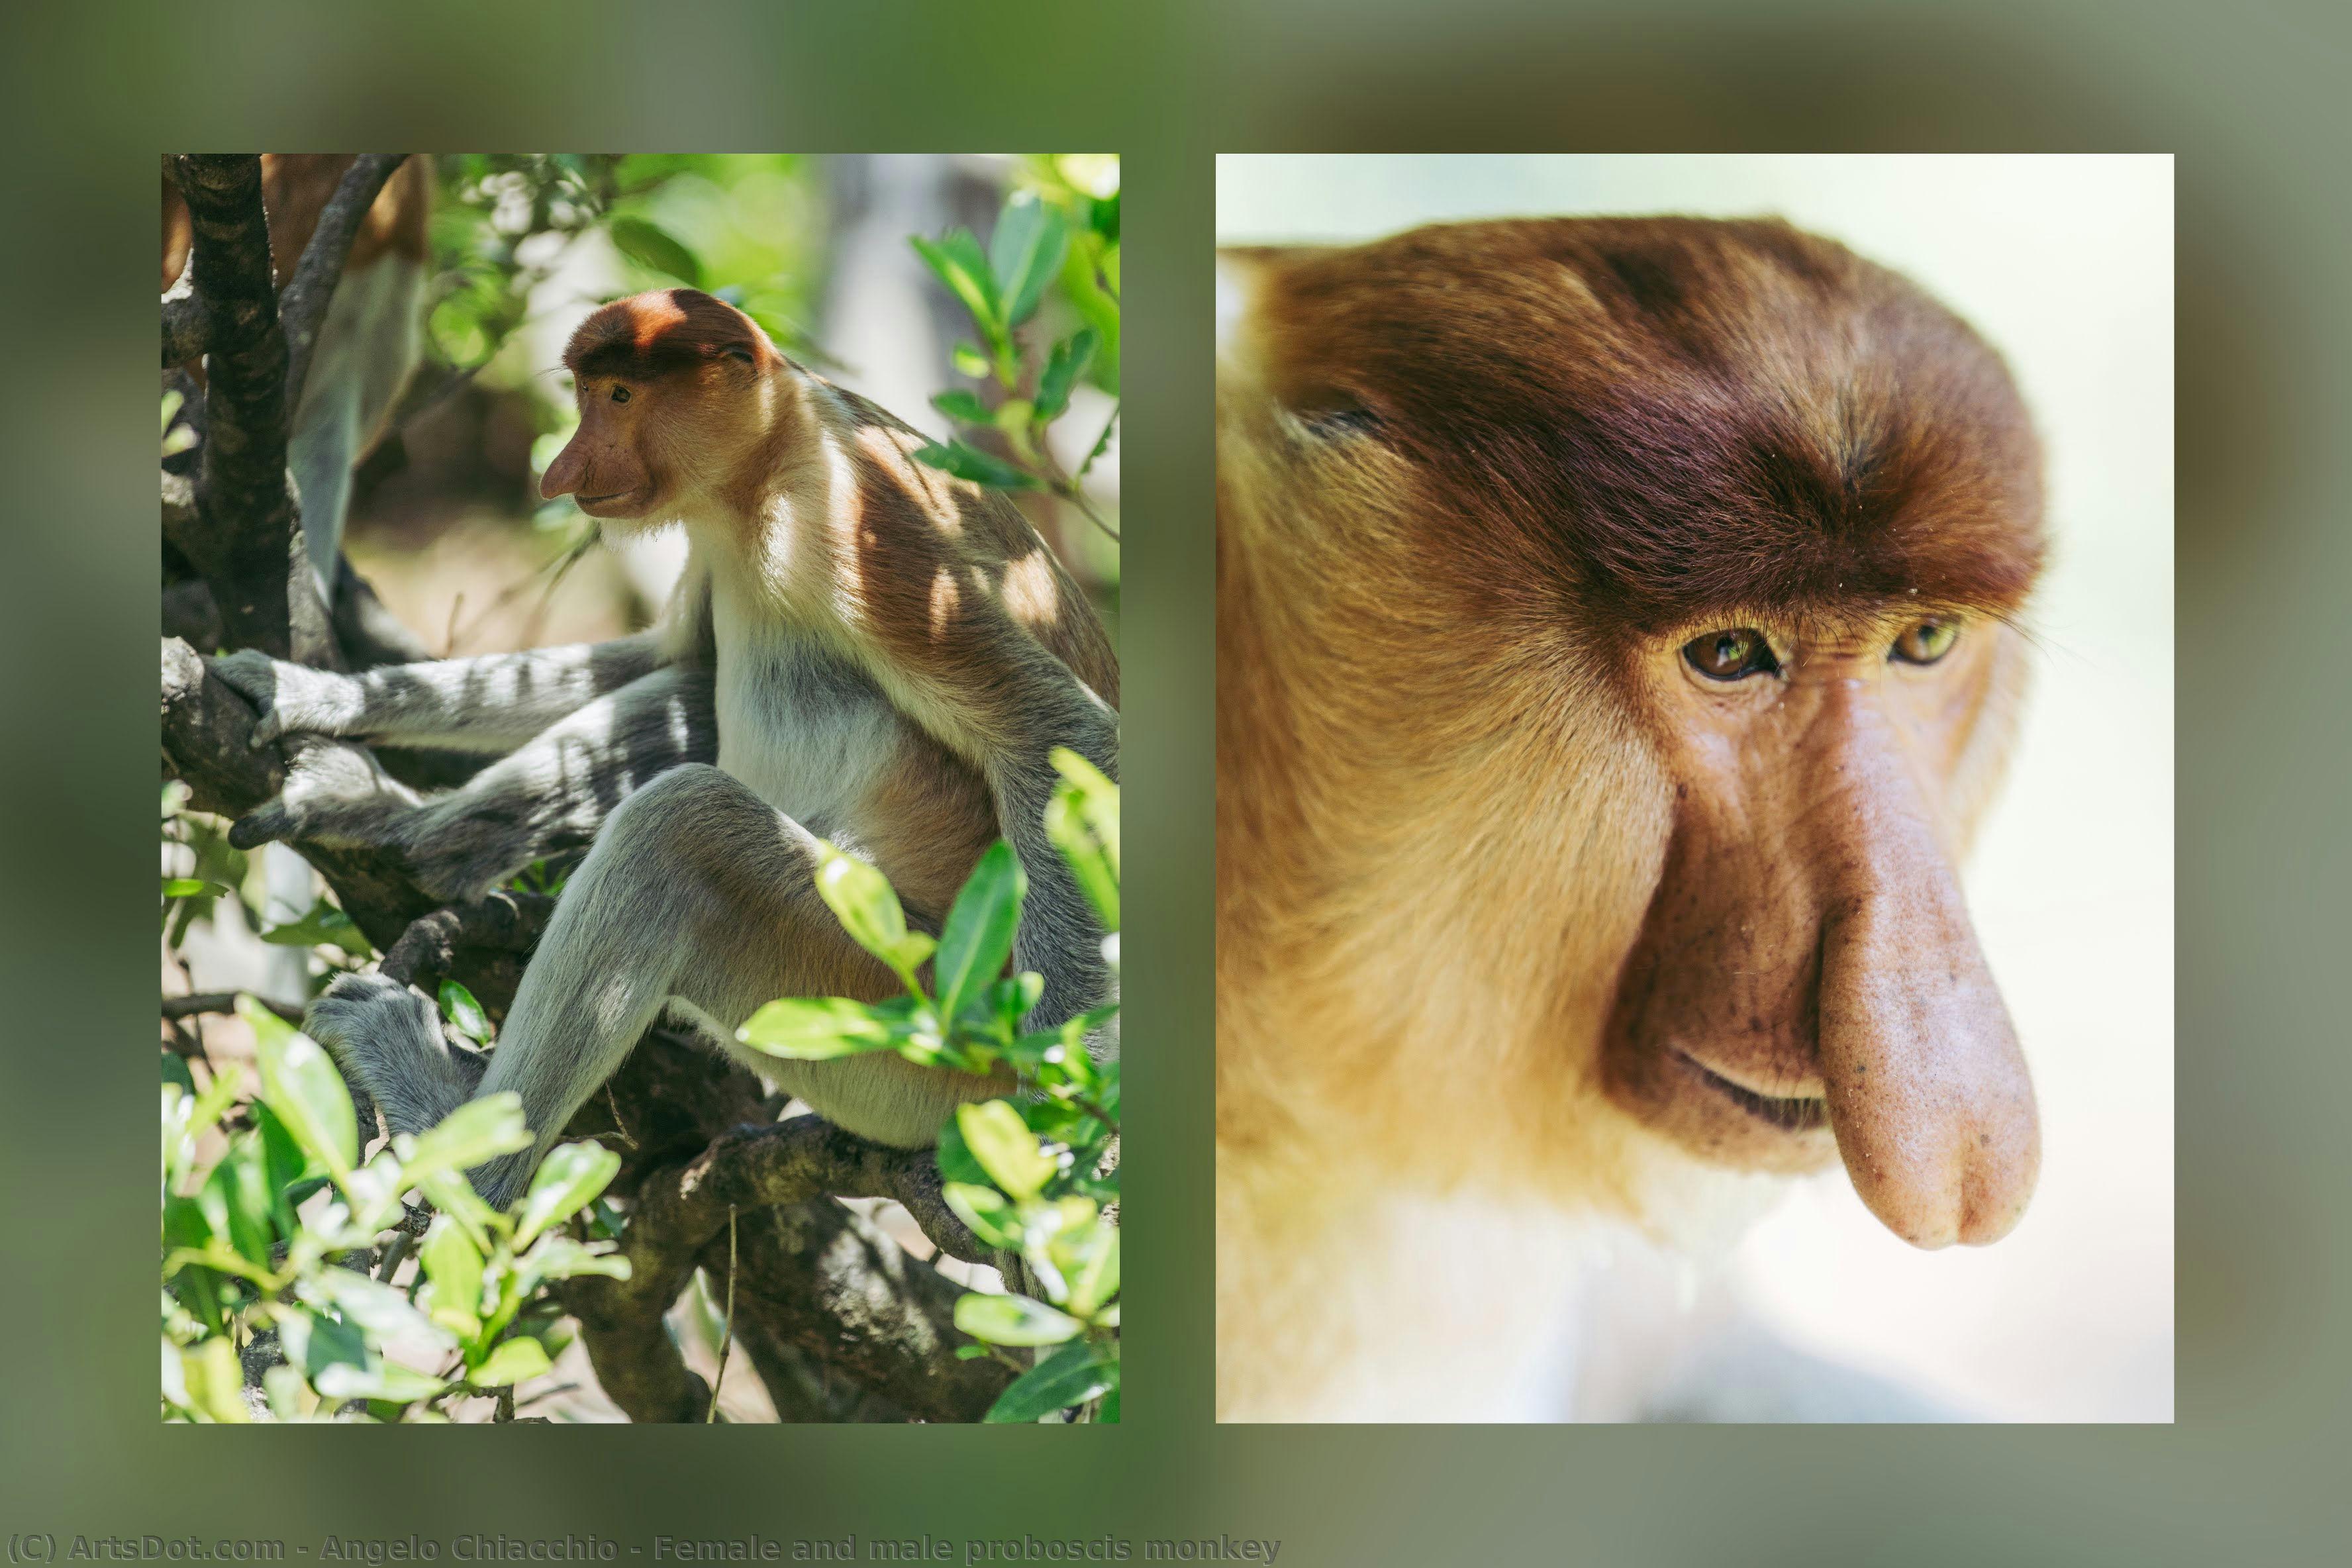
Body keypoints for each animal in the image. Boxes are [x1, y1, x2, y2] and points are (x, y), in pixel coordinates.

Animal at [215, 287, 1119, 1209]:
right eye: (586, 393)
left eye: (620, 396)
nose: (562, 472)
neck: (768, 456)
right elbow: (678, 661)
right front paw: (320, 698)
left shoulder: (854, 525)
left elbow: (1050, 735)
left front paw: (1059, 1115)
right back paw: (417, 835)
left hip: (903, 1017)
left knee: (683, 829)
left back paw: (461, 1146)